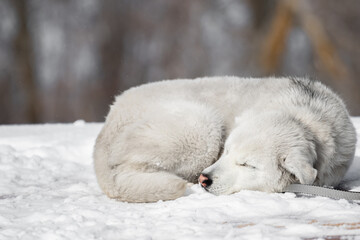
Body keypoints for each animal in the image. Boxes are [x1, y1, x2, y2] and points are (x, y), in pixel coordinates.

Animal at [93, 77, 358, 202]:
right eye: (226, 151)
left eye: (247, 165)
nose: (204, 179)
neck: (303, 119)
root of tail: (111, 116)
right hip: (203, 127)